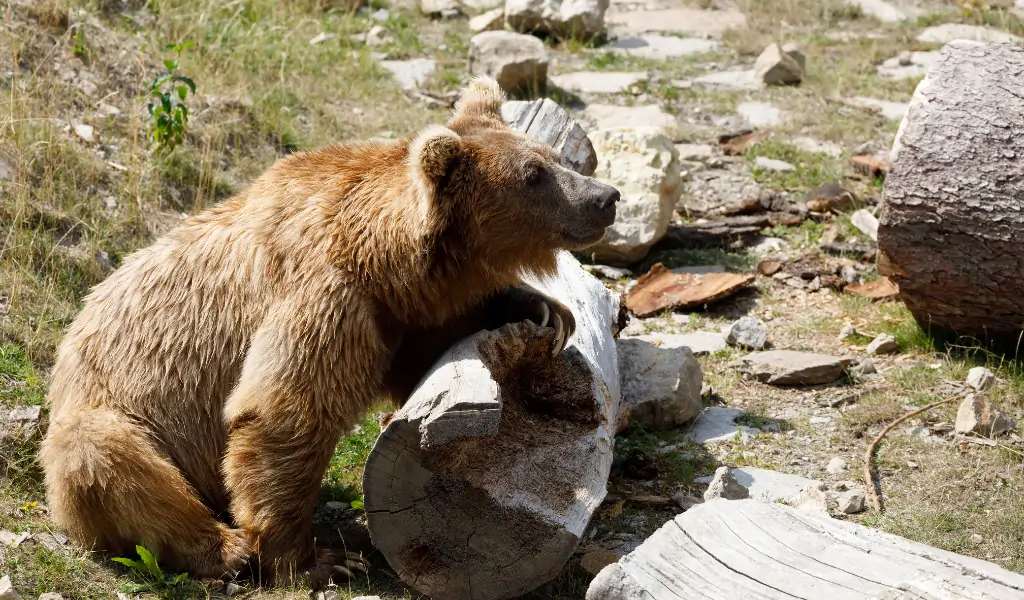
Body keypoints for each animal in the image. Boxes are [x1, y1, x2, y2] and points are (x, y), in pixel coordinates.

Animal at [37, 76, 619, 588]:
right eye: (532, 174)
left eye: (551, 156)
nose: (605, 196)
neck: (381, 257)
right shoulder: (324, 294)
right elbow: (285, 411)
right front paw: (316, 561)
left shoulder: (396, 316)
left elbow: (424, 354)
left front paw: (545, 309)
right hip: (116, 417)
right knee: (106, 458)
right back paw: (226, 548)